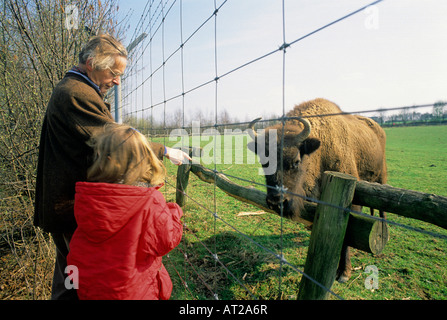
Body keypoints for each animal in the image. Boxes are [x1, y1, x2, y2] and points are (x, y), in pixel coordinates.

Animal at [248, 98, 388, 282]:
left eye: (296, 161)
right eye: (264, 162)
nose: (276, 202)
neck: (320, 152)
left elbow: (346, 239)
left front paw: (343, 273)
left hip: (381, 176)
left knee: (382, 208)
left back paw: (383, 236)